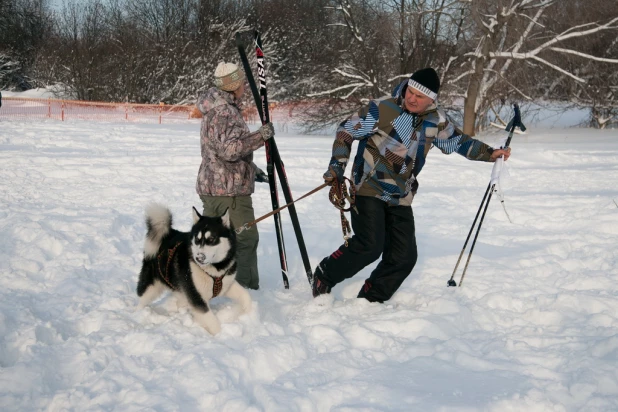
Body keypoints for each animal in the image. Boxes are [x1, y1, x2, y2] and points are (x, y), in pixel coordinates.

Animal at [135, 203, 250, 334]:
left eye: (212, 239)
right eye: (197, 239)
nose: (199, 257)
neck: (214, 269)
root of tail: (168, 233)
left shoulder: (226, 284)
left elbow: (246, 297)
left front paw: (250, 314)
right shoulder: (196, 296)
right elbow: (212, 322)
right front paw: (221, 335)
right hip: (151, 286)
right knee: (142, 299)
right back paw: (138, 314)